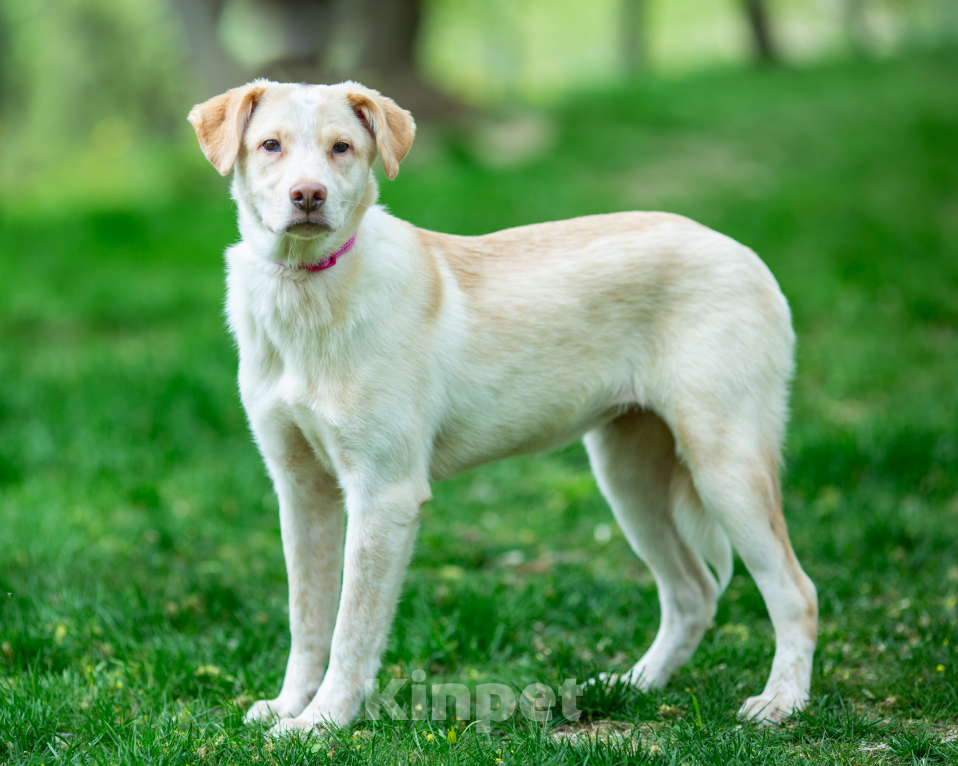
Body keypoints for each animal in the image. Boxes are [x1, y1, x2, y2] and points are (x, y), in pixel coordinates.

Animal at [187, 79, 818, 734]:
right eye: (270, 145)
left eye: (342, 148)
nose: (308, 196)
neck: (306, 287)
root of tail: (743, 253)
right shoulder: (299, 488)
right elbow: (307, 616)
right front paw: (290, 705)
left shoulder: (384, 494)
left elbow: (351, 629)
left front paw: (322, 724)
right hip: (628, 475)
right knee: (693, 592)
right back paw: (632, 685)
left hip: (725, 463)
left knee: (796, 591)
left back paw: (781, 702)